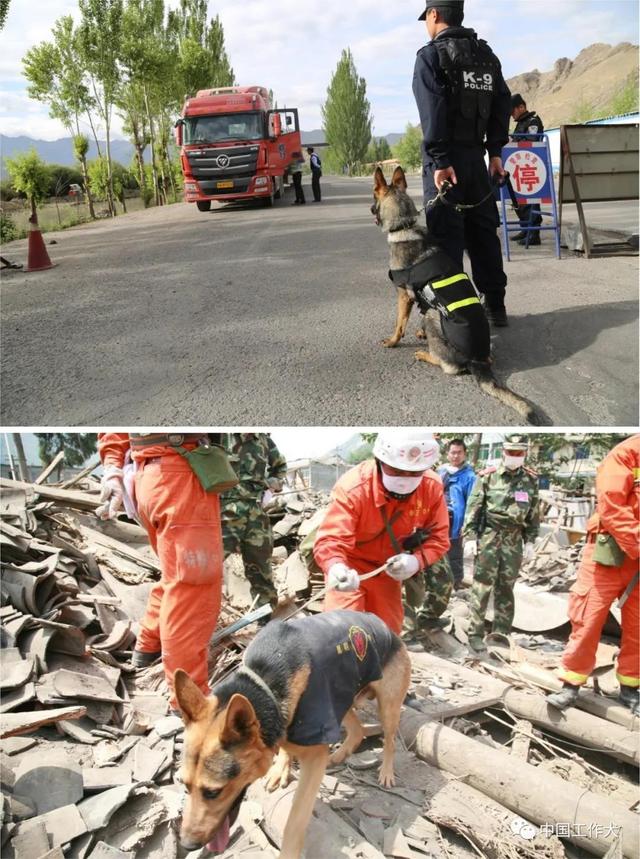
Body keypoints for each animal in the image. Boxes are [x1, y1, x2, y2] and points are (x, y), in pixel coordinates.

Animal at [175, 604, 410, 859]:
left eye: (213, 792)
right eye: (184, 785)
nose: (186, 844)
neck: (263, 685)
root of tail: (387, 629)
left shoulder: (313, 756)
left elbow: (295, 822)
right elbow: (286, 748)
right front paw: (281, 768)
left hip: (386, 706)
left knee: (390, 740)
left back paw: (386, 771)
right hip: (341, 696)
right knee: (357, 730)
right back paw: (339, 755)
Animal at [372, 165, 544, 426]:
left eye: (373, 196)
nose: (371, 210)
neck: (404, 227)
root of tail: (476, 360)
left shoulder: (404, 297)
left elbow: (399, 324)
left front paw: (393, 342)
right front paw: (417, 334)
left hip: (434, 317)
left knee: (449, 367)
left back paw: (425, 354)